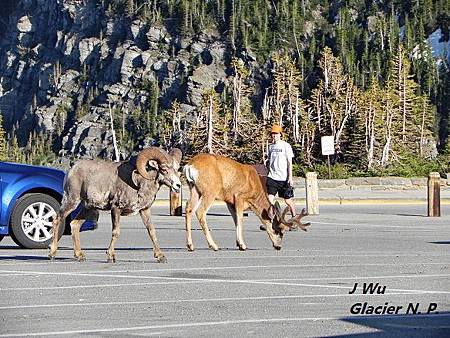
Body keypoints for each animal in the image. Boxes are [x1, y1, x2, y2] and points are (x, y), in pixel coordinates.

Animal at [48, 147, 182, 262]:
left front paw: (160, 256)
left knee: (74, 225)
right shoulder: (116, 209)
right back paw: (52, 253)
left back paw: (79, 255)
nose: (178, 185)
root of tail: (71, 170)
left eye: (176, 169)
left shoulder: (144, 210)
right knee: (57, 219)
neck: (138, 184)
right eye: (164, 169)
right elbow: (116, 232)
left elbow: (151, 231)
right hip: (72, 201)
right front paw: (111, 256)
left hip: (88, 208)